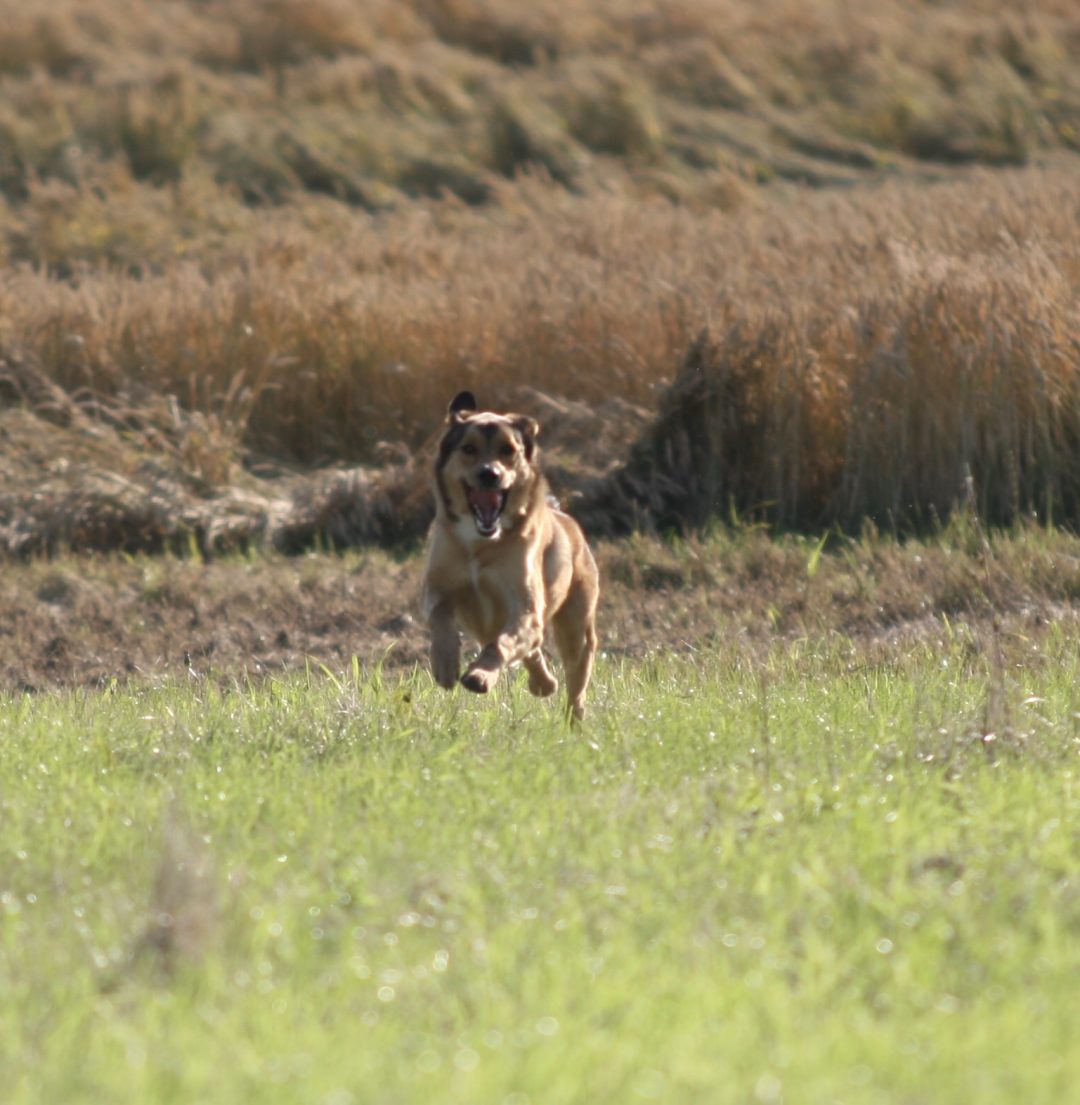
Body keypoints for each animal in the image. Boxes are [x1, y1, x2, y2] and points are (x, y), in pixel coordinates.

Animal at [422, 393, 601, 720]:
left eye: (508, 450)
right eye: (468, 448)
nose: (489, 474)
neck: (479, 544)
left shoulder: (523, 605)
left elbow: (501, 644)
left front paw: (479, 676)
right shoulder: (438, 585)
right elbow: (439, 617)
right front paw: (445, 665)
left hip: (577, 621)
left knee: (574, 675)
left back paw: (572, 718)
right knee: (533, 649)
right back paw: (543, 684)